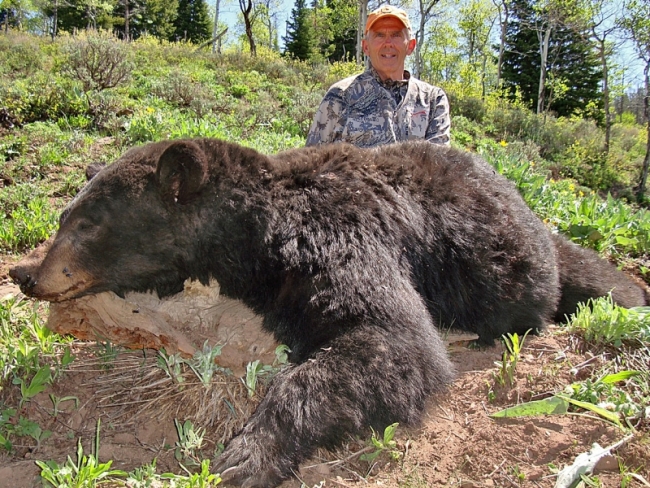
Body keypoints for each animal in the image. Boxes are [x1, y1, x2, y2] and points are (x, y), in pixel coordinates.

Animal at [8, 138, 644, 488]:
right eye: (63, 217)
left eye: (87, 224)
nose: (30, 275)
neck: (262, 229)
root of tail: (523, 199)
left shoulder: (340, 234)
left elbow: (392, 337)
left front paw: (248, 453)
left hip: (521, 264)